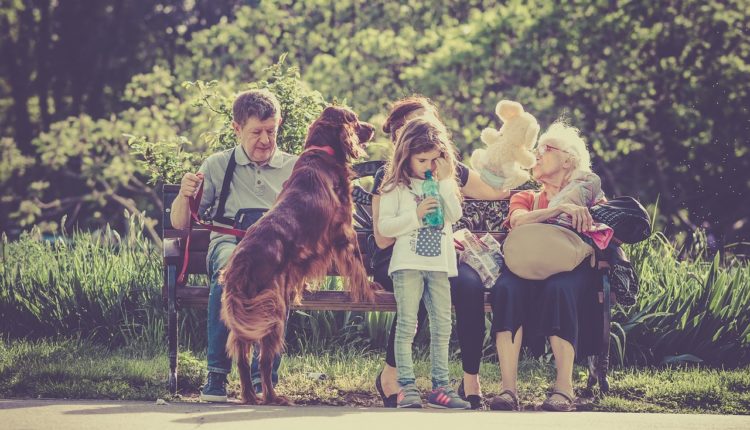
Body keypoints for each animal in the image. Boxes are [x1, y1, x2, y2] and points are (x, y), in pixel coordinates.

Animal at [217, 106, 382, 404]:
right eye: (353, 118)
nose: (373, 127)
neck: (322, 151)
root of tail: (241, 263)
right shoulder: (344, 230)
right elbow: (358, 265)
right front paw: (369, 290)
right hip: (273, 311)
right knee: (265, 360)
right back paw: (273, 397)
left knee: (243, 358)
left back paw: (249, 395)